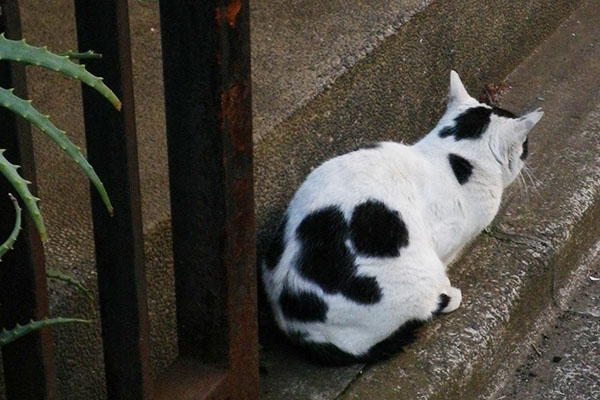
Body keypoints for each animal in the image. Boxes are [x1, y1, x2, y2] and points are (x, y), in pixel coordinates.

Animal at [260, 70, 540, 364]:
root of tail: (300, 327)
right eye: (524, 146)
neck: (454, 155)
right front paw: (448, 287)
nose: (528, 152)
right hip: (413, 279)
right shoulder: (446, 238)